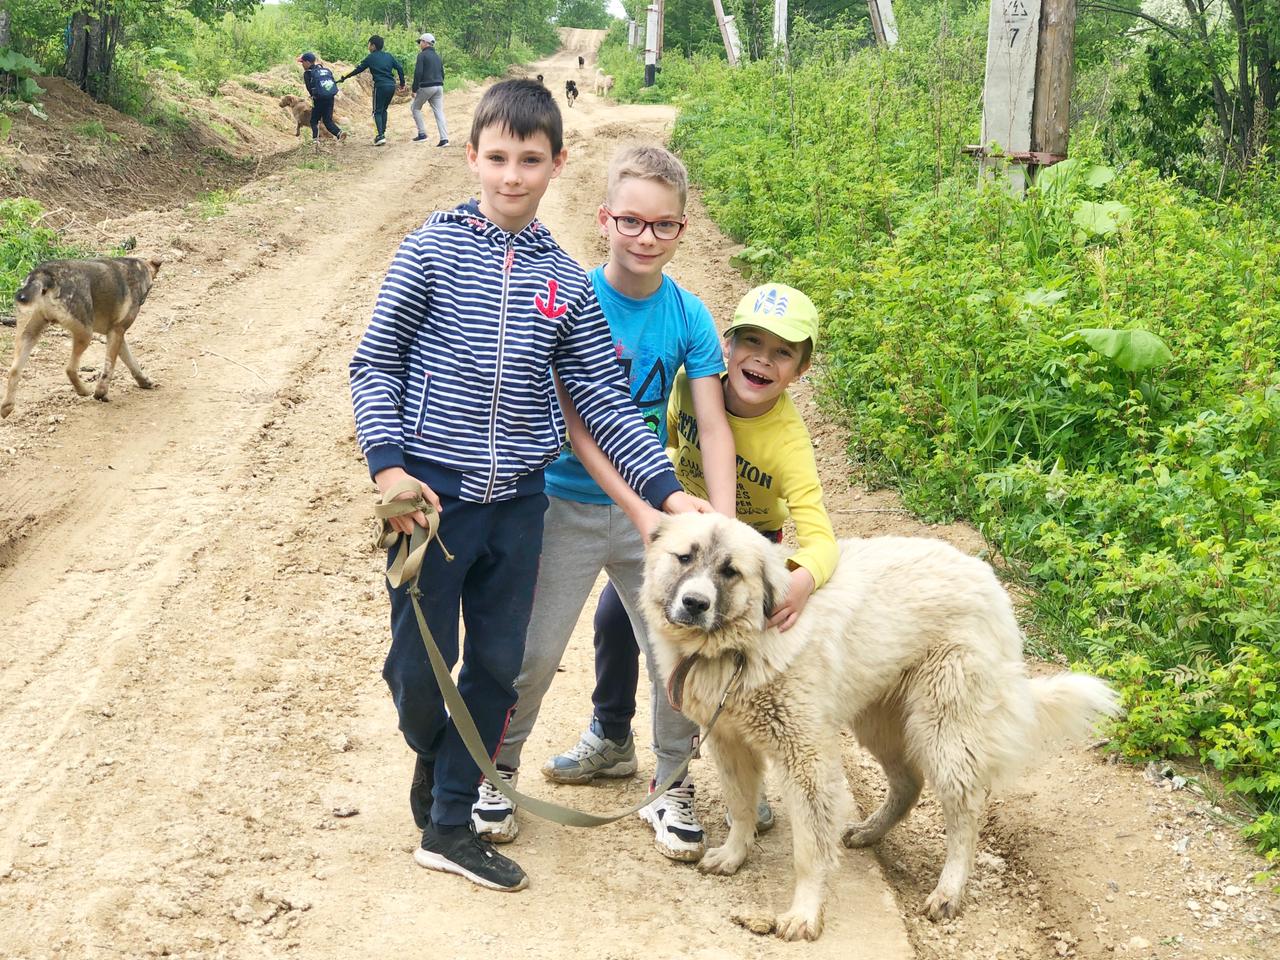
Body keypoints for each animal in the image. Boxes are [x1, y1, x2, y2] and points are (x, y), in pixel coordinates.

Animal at [645, 514, 1116, 942]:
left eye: (730, 571)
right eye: (685, 557)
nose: (695, 603)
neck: (741, 647)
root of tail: (987, 577)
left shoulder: (805, 759)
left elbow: (809, 850)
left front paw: (804, 913)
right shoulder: (729, 742)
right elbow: (741, 807)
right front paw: (733, 854)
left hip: (942, 730)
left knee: (965, 811)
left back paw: (949, 891)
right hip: (877, 723)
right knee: (908, 784)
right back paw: (869, 831)